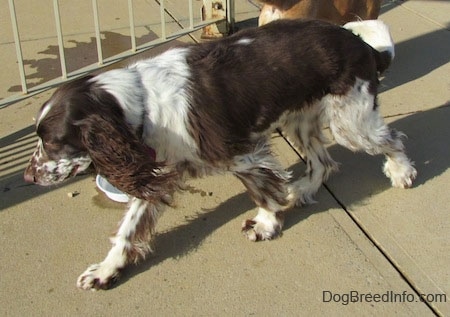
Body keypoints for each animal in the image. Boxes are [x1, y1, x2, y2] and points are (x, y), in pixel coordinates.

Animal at [23, 19, 414, 288]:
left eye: (53, 141)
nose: (28, 176)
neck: (143, 104)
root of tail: (366, 48)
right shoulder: (157, 172)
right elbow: (129, 228)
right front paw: (106, 270)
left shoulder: (245, 156)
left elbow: (262, 194)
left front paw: (265, 226)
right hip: (301, 121)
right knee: (323, 162)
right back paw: (302, 190)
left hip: (352, 124)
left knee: (393, 139)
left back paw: (401, 172)